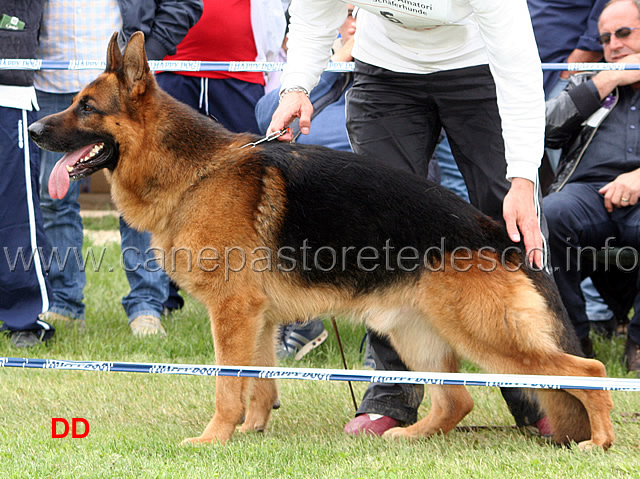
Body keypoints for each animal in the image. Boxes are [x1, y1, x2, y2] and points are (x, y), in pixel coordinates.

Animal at [28, 32, 616, 450]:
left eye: (87, 108)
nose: (32, 130)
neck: (195, 172)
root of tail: (496, 229)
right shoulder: (258, 318)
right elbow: (260, 382)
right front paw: (251, 432)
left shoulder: (233, 311)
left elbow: (227, 386)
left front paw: (214, 438)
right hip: (416, 332)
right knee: (456, 403)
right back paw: (408, 436)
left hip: (486, 336)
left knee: (590, 371)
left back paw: (600, 441)